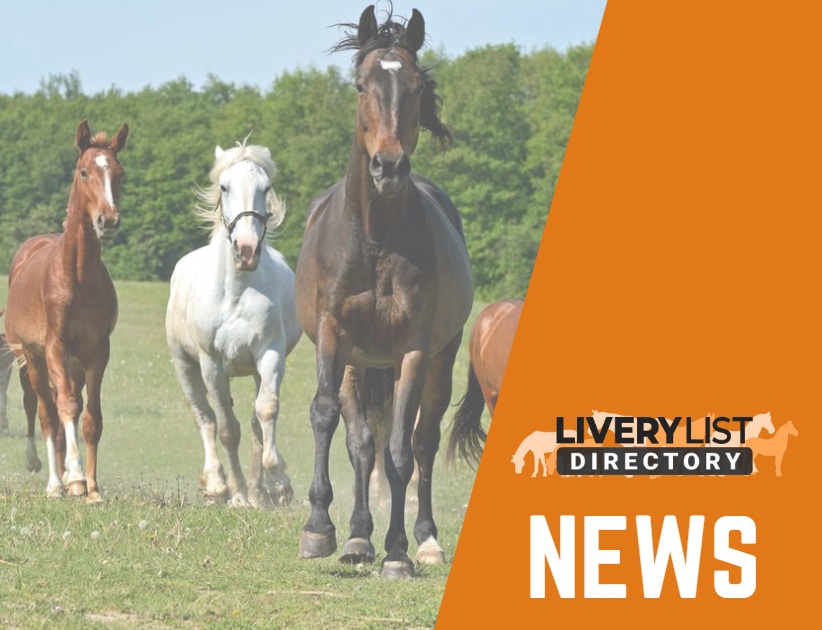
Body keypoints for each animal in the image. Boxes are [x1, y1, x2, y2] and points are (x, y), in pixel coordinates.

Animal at [3, 120, 128, 502]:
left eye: (119, 173)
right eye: (84, 171)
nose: (108, 221)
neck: (79, 277)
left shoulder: (98, 351)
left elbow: (92, 417)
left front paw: (93, 487)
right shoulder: (55, 347)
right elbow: (66, 408)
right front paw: (73, 475)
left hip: (71, 364)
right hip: (31, 358)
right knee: (44, 411)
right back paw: (54, 481)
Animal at [166, 140, 302, 508]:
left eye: (266, 188)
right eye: (224, 187)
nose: (247, 250)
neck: (236, 292)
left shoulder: (269, 355)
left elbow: (265, 413)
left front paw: (276, 484)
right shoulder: (211, 364)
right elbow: (227, 429)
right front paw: (237, 495)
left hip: (253, 370)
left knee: (254, 422)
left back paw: (258, 492)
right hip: (186, 367)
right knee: (205, 418)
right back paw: (218, 485)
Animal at [294, 5, 475, 578]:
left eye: (416, 87)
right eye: (360, 86)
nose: (389, 167)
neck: (373, 241)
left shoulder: (414, 349)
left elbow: (401, 448)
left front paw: (397, 551)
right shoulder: (334, 333)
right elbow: (328, 417)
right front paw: (320, 529)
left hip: (438, 358)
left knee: (421, 441)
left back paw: (423, 540)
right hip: (359, 361)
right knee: (360, 443)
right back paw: (356, 537)